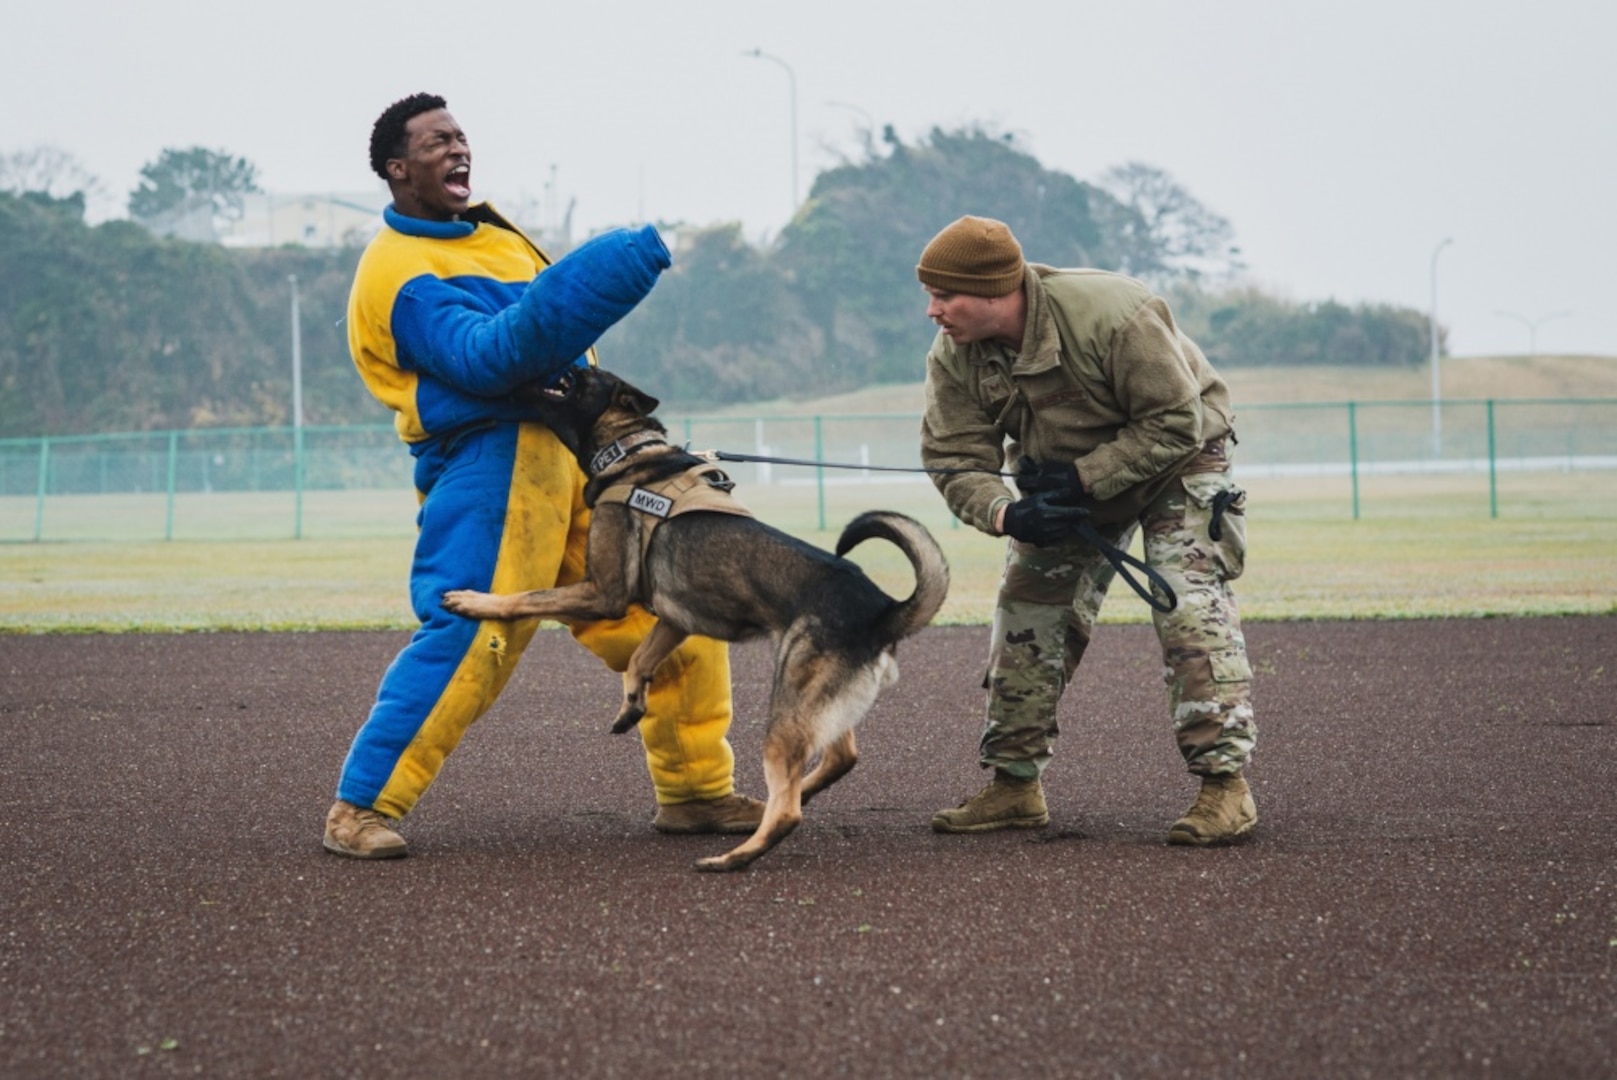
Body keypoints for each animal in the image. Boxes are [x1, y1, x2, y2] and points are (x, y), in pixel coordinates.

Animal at [436, 367, 950, 873]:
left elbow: (523, 598)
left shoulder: (603, 592)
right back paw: (776, 803)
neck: (629, 451)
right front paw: (632, 705)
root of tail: (883, 609)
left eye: (577, 374)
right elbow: (640, 660)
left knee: (789, 809)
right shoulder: (673, 620)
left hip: (789, 702)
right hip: (817, 704)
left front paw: (473, 601)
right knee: (839, 759)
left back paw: (733, 858)